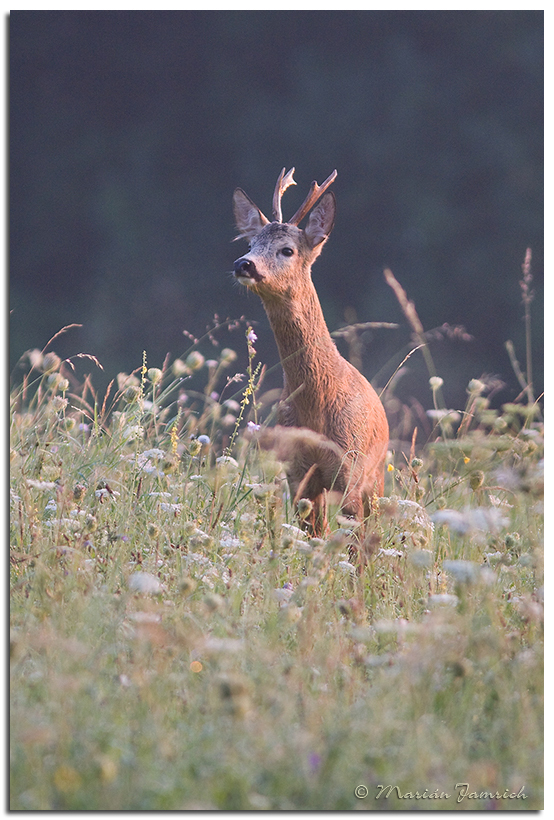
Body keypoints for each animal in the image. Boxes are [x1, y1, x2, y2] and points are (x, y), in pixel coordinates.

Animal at [231, 168, 386, 540]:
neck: (318, 406)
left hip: (376, 475)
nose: (244, 264)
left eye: (287, 250)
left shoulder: (351, 470)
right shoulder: (298, 473)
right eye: (250, 244)